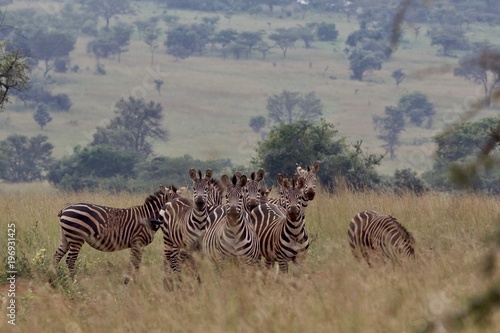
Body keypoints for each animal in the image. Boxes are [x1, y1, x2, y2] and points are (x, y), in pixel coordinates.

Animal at [50, 184, 180, 282]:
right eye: (172, 200)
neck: (148, 217)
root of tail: (65, 209)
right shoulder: (137, 241)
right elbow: (134, 263)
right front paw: (132, 281)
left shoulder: (138, 244)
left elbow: (135, 263)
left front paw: (132, 281)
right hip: (76, 237)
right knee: (70, 260)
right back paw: (73, 282)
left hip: (66, 238)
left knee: (56, 256)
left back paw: (53, 278)